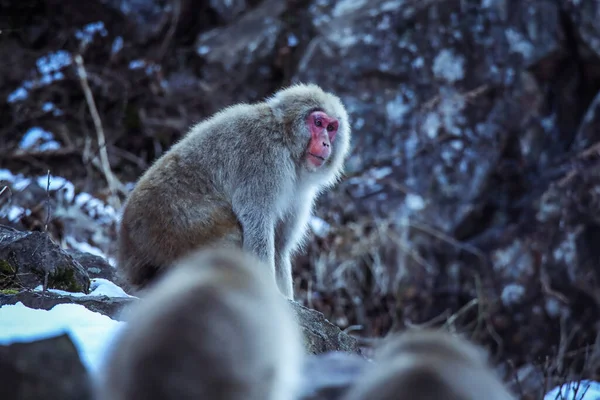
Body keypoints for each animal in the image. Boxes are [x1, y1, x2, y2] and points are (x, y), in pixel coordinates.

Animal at [116, 83, 352, 298]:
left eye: (331, 128)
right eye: (318, 123)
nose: (326, 143)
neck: (285, 141)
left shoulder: (300, 192)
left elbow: (279, 246)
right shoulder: (264, 161)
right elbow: (257, 225)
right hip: (171, 233)